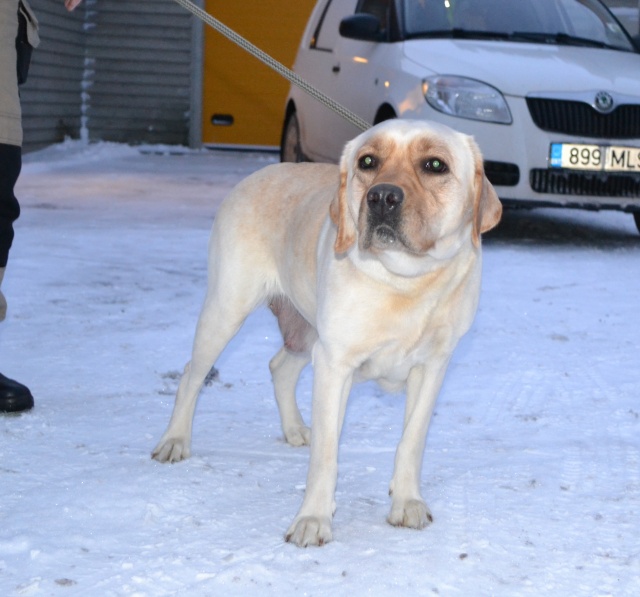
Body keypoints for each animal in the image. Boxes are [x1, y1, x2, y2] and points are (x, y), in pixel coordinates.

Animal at [152, 119, 502, 547]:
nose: (382, 197)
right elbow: (326, 454)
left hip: (304, 333)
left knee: (280, 367)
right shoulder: (335, 364)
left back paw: (293, 429)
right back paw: (174, 440)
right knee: (192, 374)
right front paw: (313, 519)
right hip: (226, 310)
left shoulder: (433, 366)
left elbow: (412, 441)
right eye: (367, 161)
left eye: (435, 165)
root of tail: (259, 174)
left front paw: (407, 502)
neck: (405, 284)